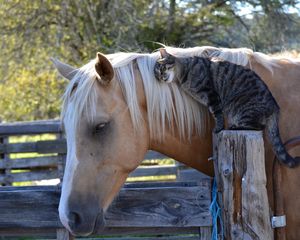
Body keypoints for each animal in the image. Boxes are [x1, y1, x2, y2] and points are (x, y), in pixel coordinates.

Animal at [155, 48, 300, 169]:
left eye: (162, 67)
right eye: (157, 73)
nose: (161, 76)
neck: (184, 72)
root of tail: (275, 107)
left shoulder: (212, 95)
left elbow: (217, 114)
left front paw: (218, 128)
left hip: (241, 107)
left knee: (257, 127)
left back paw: (235, 126)